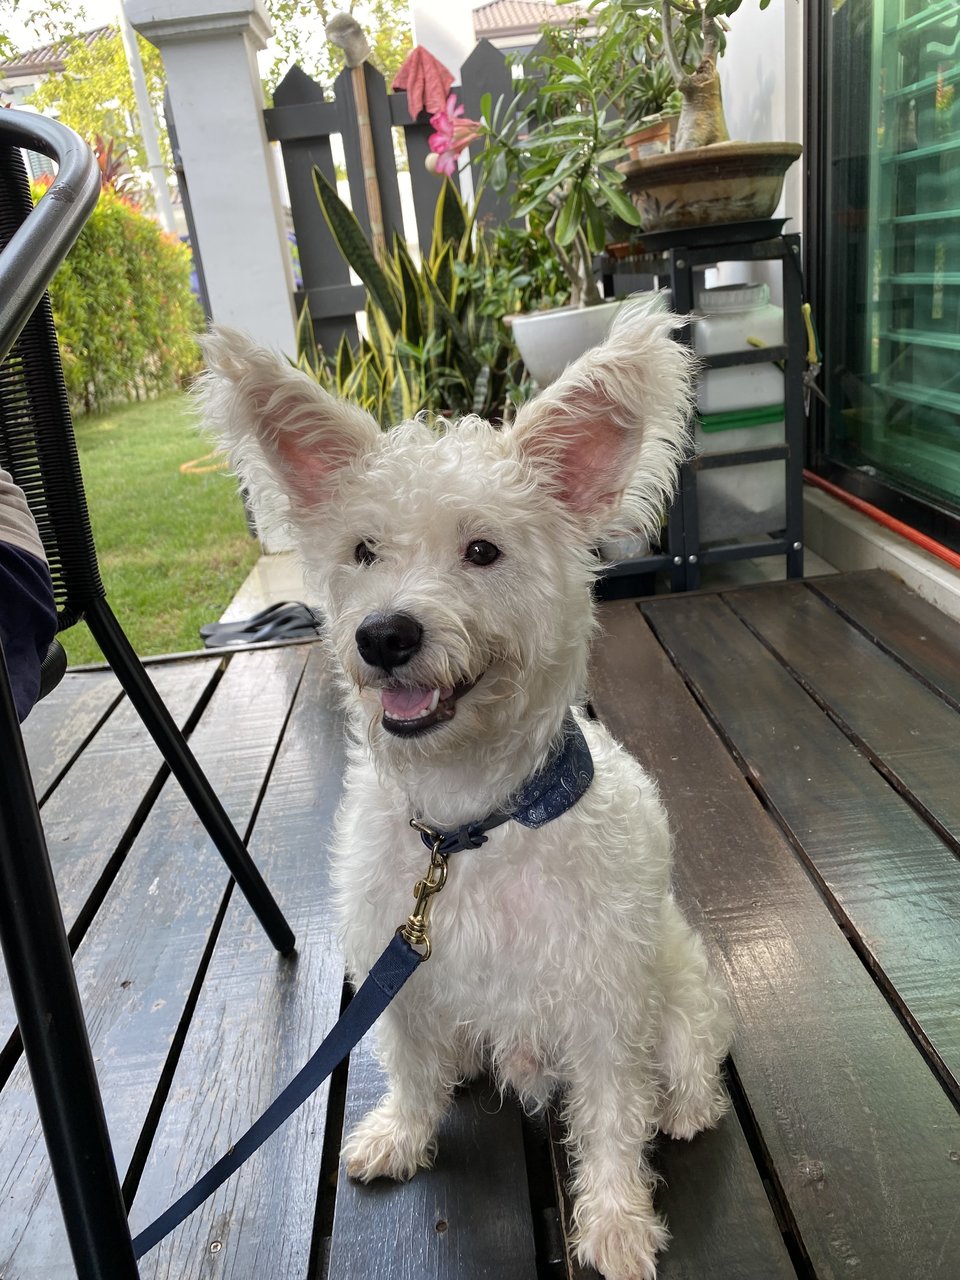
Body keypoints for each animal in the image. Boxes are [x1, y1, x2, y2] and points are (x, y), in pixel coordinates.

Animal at [200, 312, 727, 1280]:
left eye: (484, 550)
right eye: (363, 551)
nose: (384, 636)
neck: (467, 825)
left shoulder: (603, 1003)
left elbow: (611, 1114)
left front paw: (616, 1225)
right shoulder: (398, 974)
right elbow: (410, 1068)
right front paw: (399, 1136)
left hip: (676, 993)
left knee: (688, 1063)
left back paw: (687, 1107)